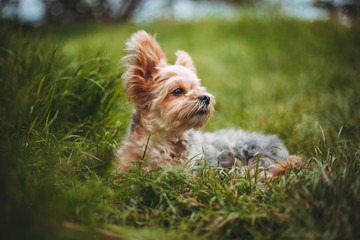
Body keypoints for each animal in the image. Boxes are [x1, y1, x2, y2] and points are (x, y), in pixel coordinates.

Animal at [114, 30, 300, 178]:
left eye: (199, 89)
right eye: (178, 91)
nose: (206, 97)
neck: (162, 140)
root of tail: (280, 146)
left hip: (259, 162)